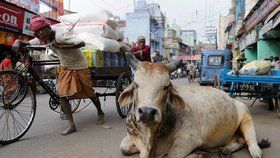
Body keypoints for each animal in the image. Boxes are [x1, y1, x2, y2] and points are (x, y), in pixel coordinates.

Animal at [119, 53, 266, 158]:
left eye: (166, 86)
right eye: (136, 84)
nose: (147, 112)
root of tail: (231, 98)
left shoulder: (189, 139)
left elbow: (172, 155)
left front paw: (198, 153)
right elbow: (124, 148)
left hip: (246, 114)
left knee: (251, 143)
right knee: (238, 141)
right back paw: (225, 149)